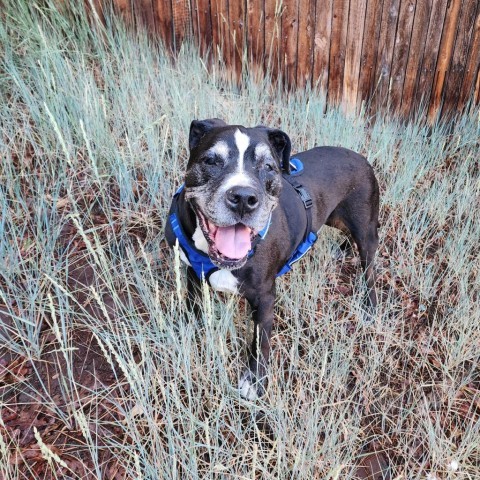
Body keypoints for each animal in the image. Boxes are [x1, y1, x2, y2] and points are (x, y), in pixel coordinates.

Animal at [165, 119, 378, 402]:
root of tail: (360, 157)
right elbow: (193, 305)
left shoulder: (265, 298)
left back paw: (369, 307)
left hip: (365, 229)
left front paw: (255, 381)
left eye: (268, 167)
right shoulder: (193, 274)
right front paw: (188, 332)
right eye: (211, 161)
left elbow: (260, 340)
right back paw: (343, 249)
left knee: (369, 267)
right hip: (336, 217)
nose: (244, 198)